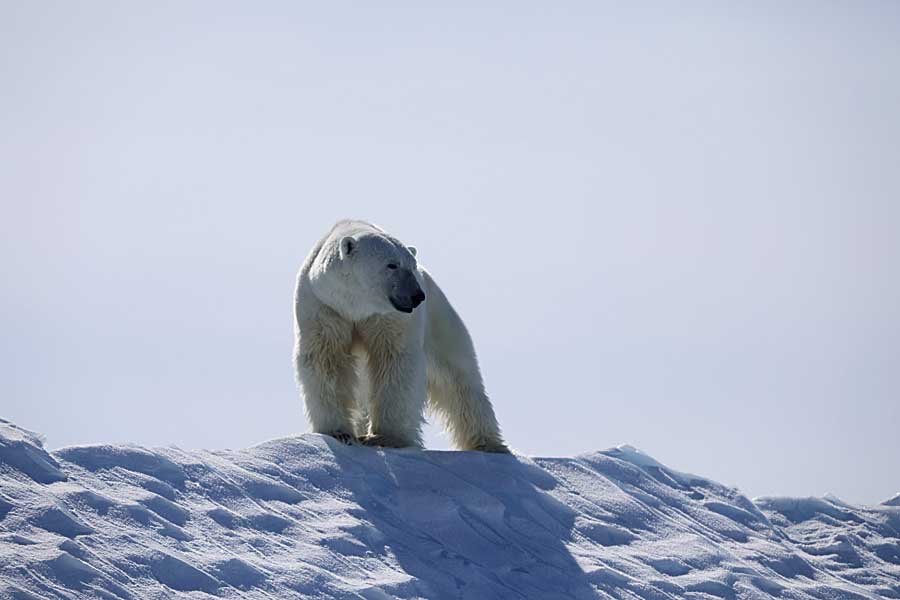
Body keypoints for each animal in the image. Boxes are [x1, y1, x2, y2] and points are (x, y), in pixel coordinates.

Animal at [294, 219, 510, 450]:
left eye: (412, 266)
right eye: (392, 265)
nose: (417, 296)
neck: (356, 308)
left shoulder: (390, 317)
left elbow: (395, 359)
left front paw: (386, 438)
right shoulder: (324, 307)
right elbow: (326, 359)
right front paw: (339, 433)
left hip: (441, 319)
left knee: (458, 377)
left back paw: (489, 444)